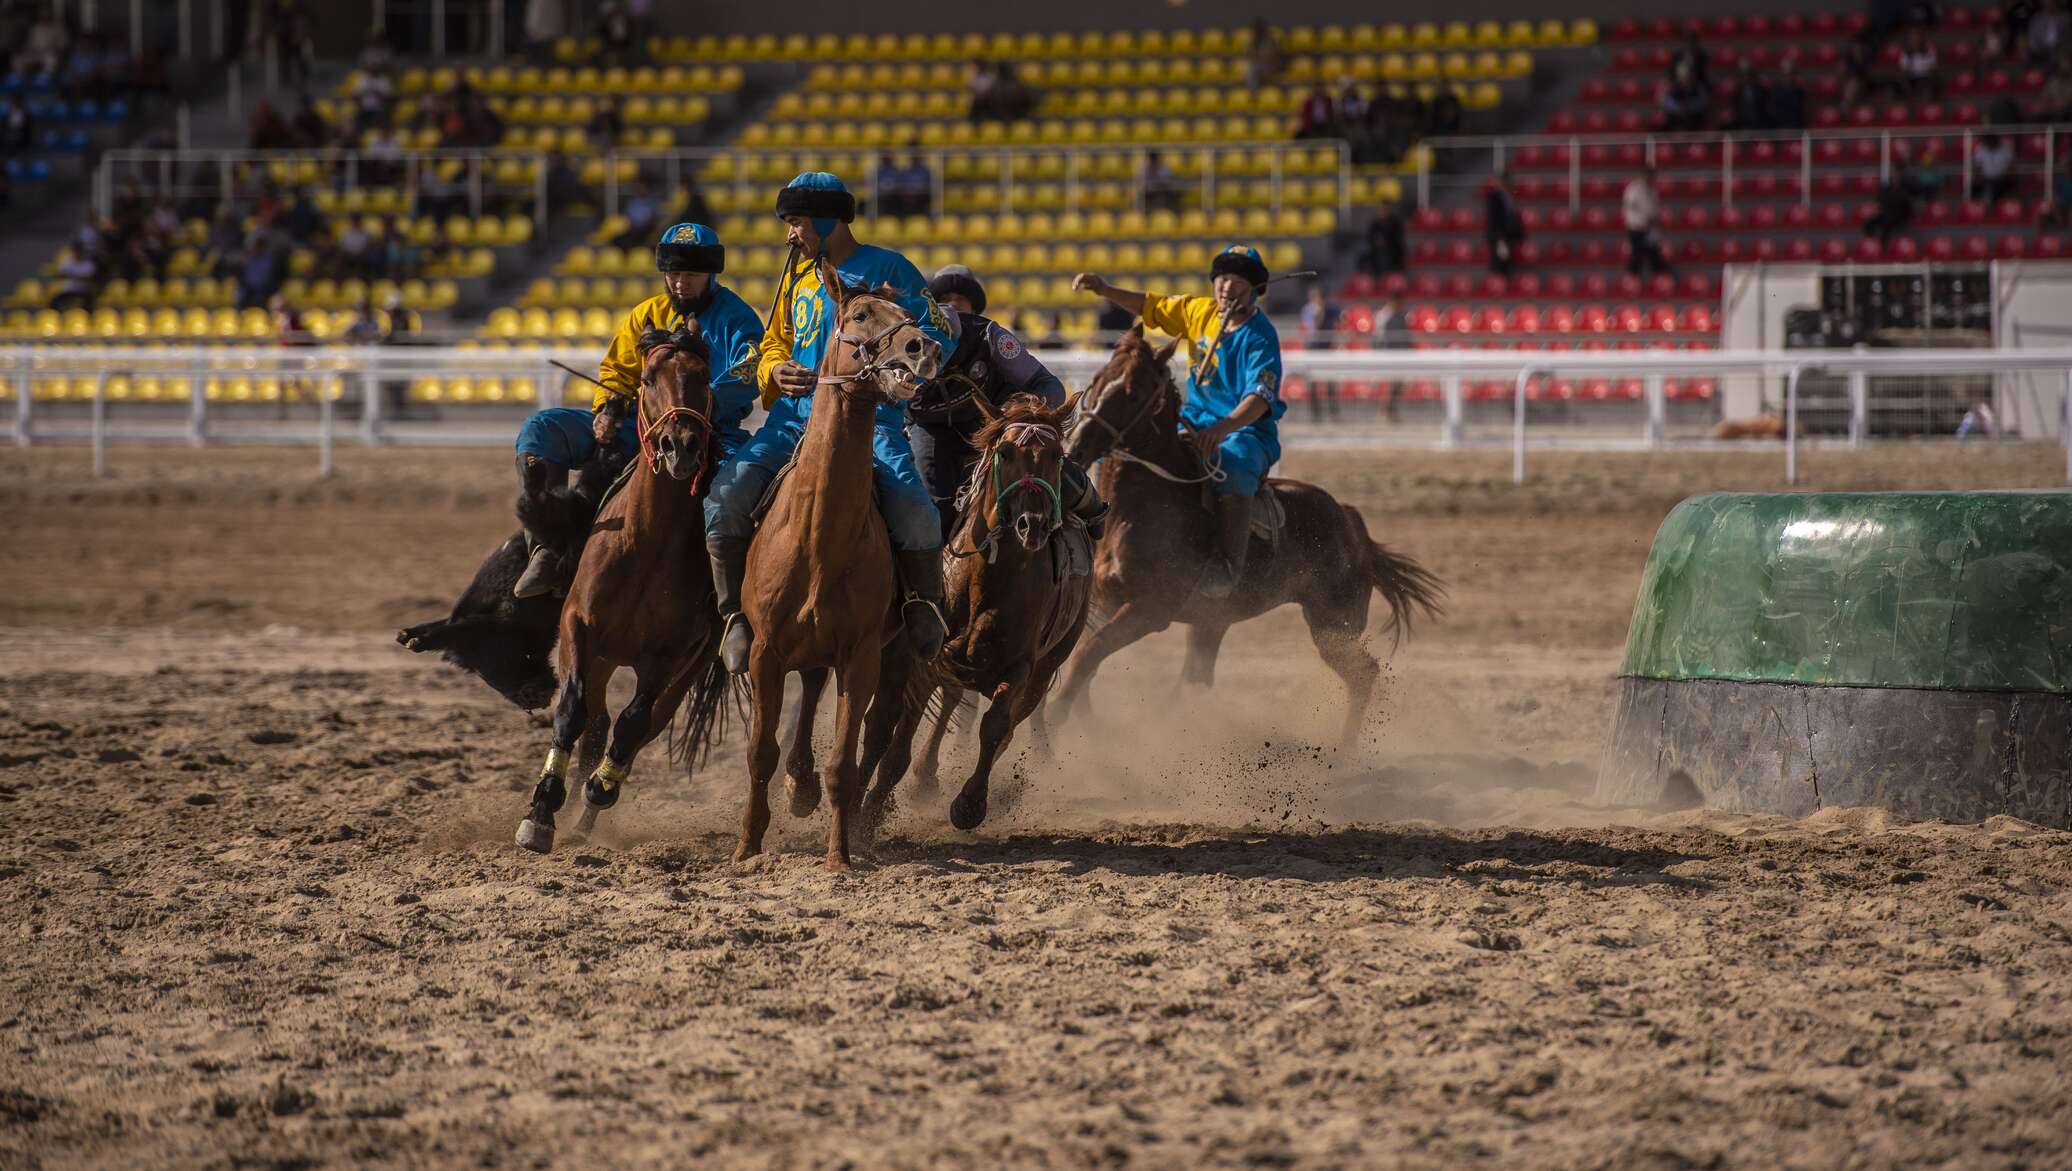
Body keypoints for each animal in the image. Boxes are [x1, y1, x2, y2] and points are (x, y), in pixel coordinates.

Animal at [513, 323, 733, 853]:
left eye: (704, 377)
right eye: (649, 379)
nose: (681, 446)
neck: (645, 542)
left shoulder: (673, 655)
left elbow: (633, 724)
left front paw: (597, 790)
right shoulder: (579, 629)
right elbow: (571, 714)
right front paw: (541, 811)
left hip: (682, 671)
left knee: (638, 731)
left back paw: (592, 807)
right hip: (602, 659)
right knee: (594, 727)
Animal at [853, 397, 1094, 837]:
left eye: (1056, 455)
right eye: (1006, 452)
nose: (1032, 525)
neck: (987, 580)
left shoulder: (1021, 667)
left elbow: (996, 727)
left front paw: (970, 804)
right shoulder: (926, 662)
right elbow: (898, 739)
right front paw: (873, 809)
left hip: (1046, 666)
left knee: (1009, 723)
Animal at [1052, 327, 1442, 750]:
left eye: (1133, 392)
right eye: (1098, 379)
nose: (1076, 445)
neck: (1144, 507)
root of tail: (1351, 523)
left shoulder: (1150, 610)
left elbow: (1089, 654)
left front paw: (1053, 727)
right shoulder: (1107, 601)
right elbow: (1086, 660)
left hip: (1333, 626)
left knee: (1363, 674)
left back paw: (1345, 751)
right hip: (1216, 623)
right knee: (1196, 678)